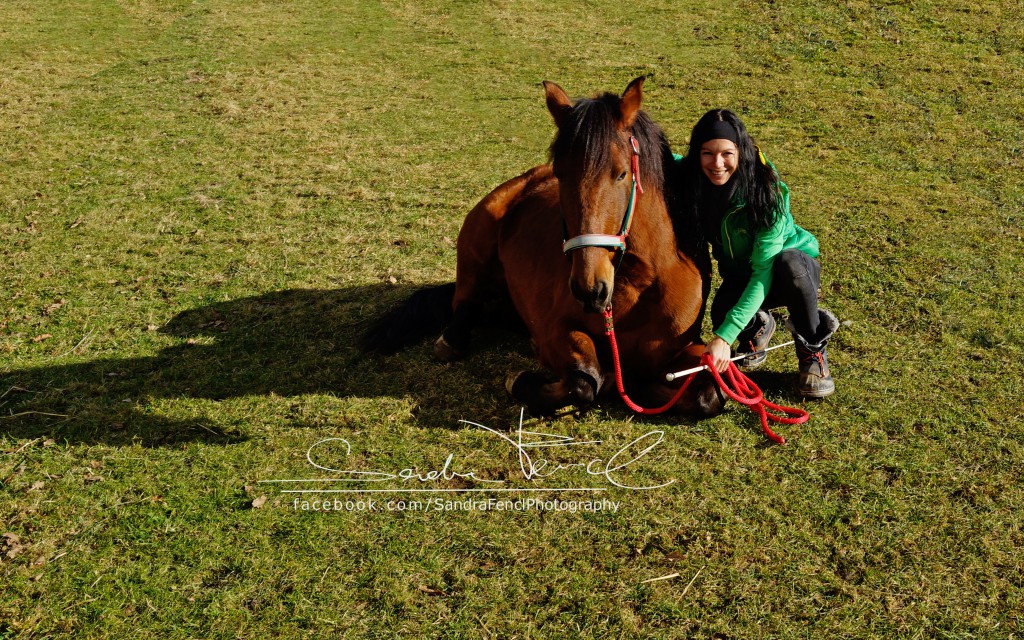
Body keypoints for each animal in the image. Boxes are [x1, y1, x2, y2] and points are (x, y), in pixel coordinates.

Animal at [364, 76, 724, 419]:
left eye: (622, 174)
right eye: (561, 174)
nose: (589, 288)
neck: (640, 283)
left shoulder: (685, 348)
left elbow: (710, 395)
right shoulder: (555, 332)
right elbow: (583, 382)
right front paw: (520, 381)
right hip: (476, 241)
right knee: (465, 299)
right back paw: (452, 339)